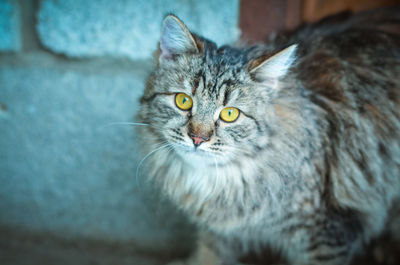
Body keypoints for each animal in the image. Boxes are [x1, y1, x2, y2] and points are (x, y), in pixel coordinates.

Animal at [138, 6, 400, 264]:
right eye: (183, 101)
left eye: (230, 114)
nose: (198, 139)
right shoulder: (220, 233)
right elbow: (210, 254)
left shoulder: (327, 233)